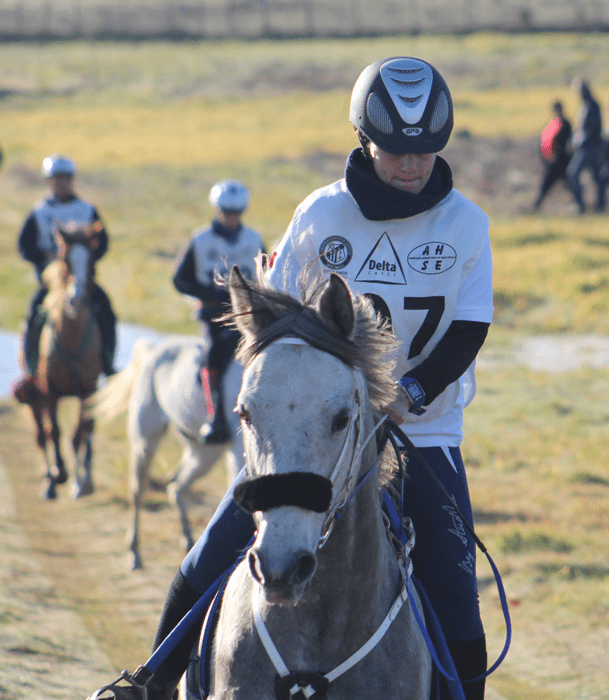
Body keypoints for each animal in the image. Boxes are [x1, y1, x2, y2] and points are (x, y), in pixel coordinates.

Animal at [14, 222, 105, 501]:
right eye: (66, 261)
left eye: (92, 263)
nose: (76, 300)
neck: (71, 339)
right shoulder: (49, 391)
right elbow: (54, 431)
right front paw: (60, 474)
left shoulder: (87, 392)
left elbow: (78, 434)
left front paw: (78, 483)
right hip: (35, 395)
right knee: (41, 435)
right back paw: (49, 482)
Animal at [87, 335, 244, 570]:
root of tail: (154, 349)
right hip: (146, 442)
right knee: (139, 491)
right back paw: (134, 552)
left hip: (204, 453)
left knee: (176, 485)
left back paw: (188, 540)